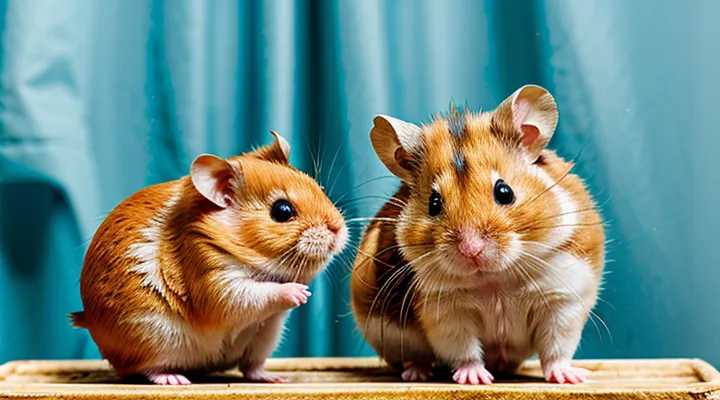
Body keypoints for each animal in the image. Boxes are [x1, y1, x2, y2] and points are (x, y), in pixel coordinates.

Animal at [70, 131, 348, 385]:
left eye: (319, 188)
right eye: (282, 211)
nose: (340, 230)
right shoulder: (216, 282)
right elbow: (260, 292)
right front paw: (300, 293)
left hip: (265, 339)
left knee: (251, 367)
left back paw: (275, 378)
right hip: (151, 338)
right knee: (143, 369)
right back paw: (173, 378)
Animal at [350, 85, 605, 385]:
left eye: (504, 191)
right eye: (434, 203)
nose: (471, 250)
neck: (494, 279)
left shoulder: (562, 299)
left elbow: (557, 348)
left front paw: (569, 377)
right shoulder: (445, 311)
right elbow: (464, 349)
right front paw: (475, 378)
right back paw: (417, 373)